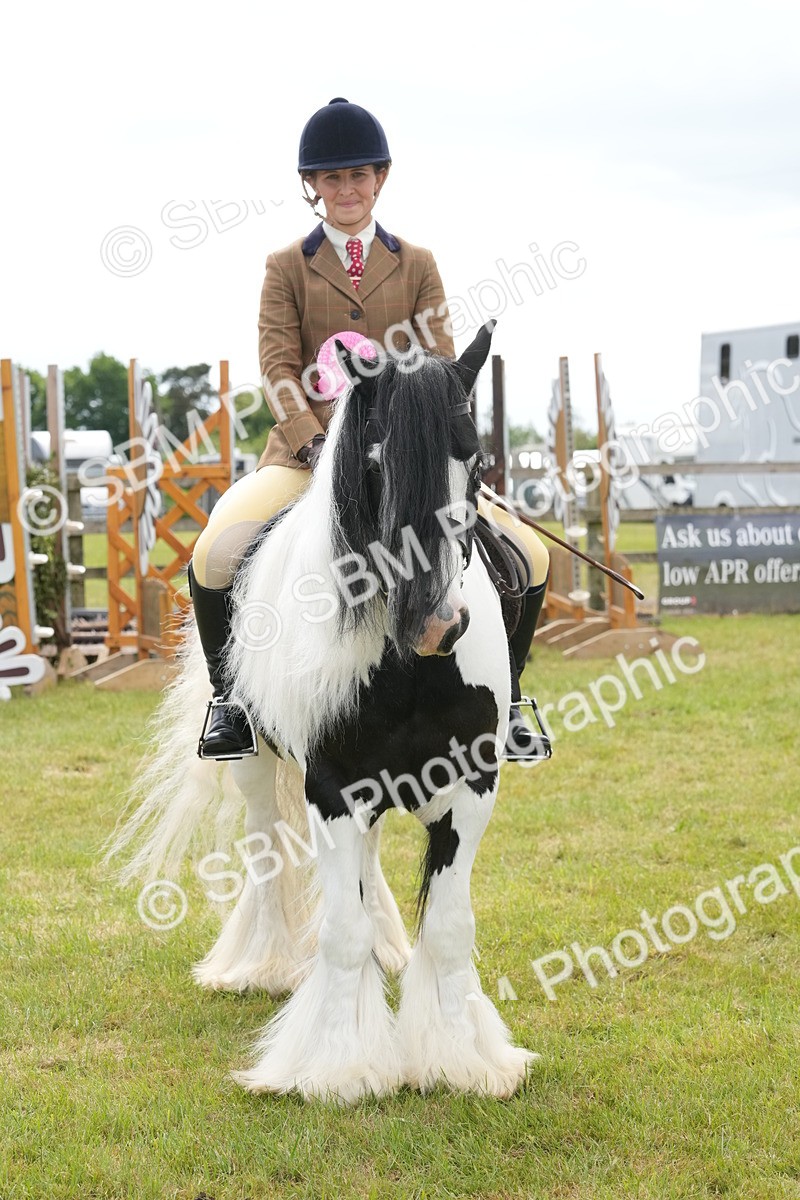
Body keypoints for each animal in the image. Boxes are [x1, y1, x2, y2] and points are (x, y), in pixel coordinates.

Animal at [107, 321, 537, 1103]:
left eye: (476, 459)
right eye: (373, 464)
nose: (438, 625)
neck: (407, 666)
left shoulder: (472, 784)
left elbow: (449, 926)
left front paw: (463, 1061)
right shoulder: (333, 786)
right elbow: (341, 931)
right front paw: (339, 1066)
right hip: (252, 761)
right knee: (267, 849)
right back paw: (266, 966)